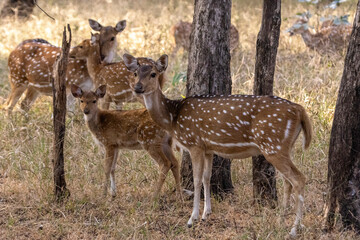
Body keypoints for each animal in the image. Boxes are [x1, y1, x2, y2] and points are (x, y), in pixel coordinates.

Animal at [124, 53, 312, 237]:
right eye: (136, 73)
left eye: (153, 74)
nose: (138, 87)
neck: (173, 117)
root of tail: (300, 110)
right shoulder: (208, 148)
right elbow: (207, 178)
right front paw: (206, 214)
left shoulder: (194, 143)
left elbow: (197, 179)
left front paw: (192, 219)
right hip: (284, 147)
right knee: (288, 181)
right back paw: (281, 221)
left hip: (273, 145)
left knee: (299, 179)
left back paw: (294, 229)